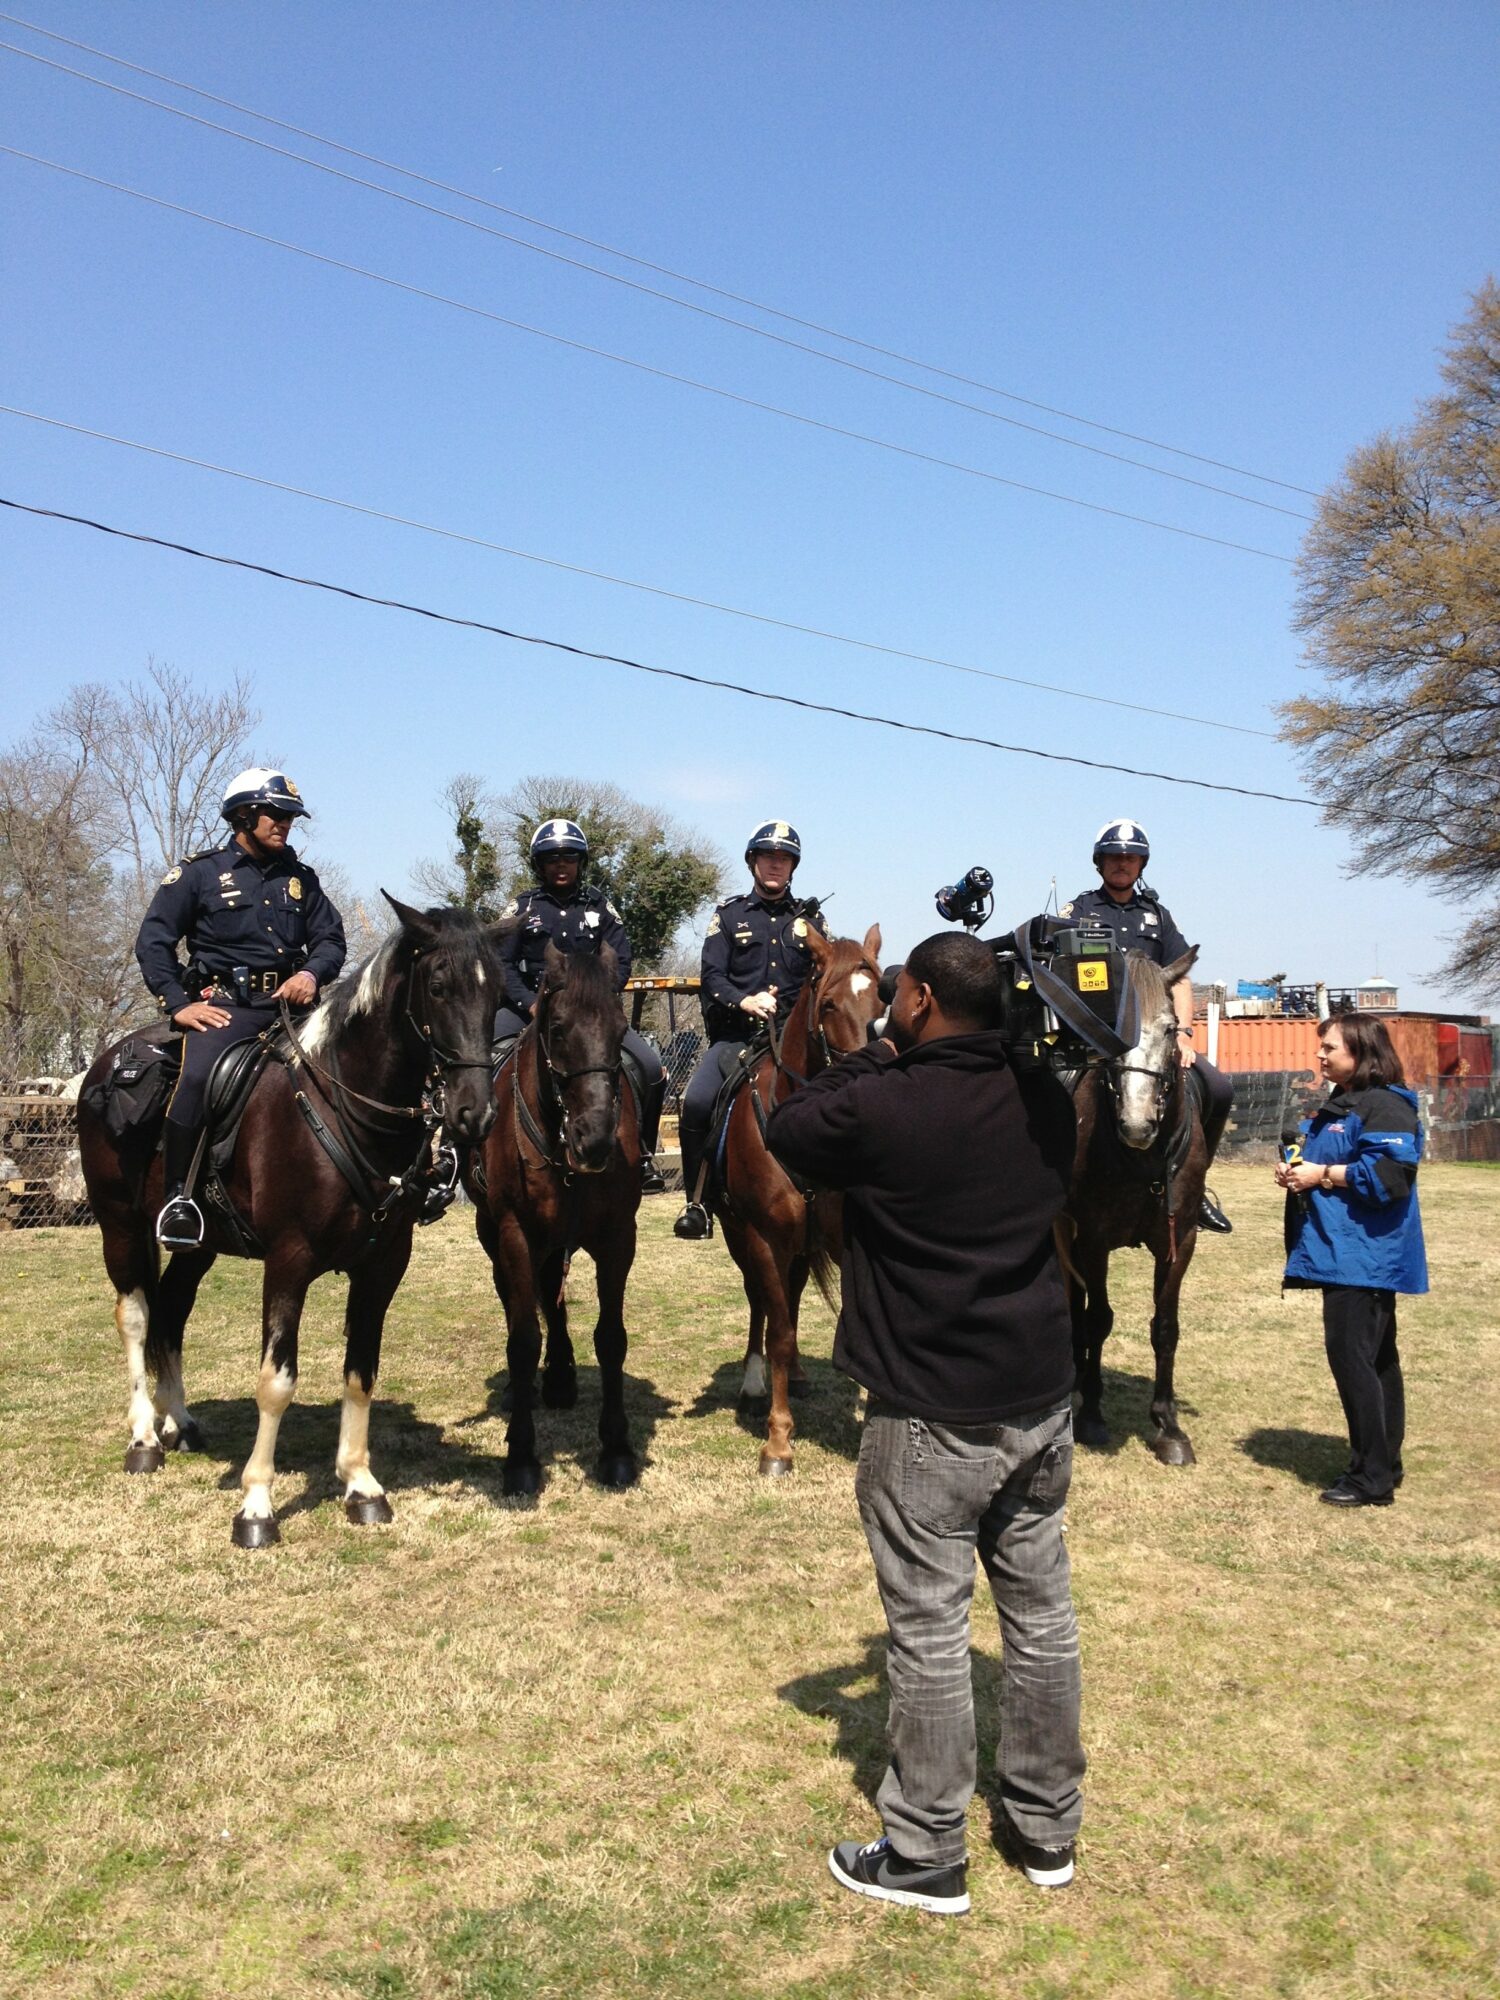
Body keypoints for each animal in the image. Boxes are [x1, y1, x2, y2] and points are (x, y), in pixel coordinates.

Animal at [77, 897, 505, 1546]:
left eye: (498, 991)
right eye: (437, 985)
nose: (472, 1113)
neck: (343, 1106)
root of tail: (107, 1065)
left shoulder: (382, 1267)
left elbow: (360, 1374)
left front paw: (361, 1486)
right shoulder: (288, 1263)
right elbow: (275, 1382)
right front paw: (256, 1505)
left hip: (198, 1244)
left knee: (171, 1313)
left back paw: (181, 1422)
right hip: (120, 1227)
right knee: (136, 1317)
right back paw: (145, 1436)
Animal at [463, 942, 643, 1496]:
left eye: (620, 1030)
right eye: (558, 1028)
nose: (596, 1141)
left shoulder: (617, 1239)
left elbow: (611, 1337)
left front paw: (616, 1449)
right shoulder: (515, 1235)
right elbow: (522, 1340)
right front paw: (521, 1458)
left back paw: (562, 1376)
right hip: (494, 1235)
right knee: (518, 1301)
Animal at [714, 925, 883, 1477]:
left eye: (882, 999)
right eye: (828, 1004)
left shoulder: (839, 1236)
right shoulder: (764, 1238)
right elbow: (780, 1333)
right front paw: (778, 1441)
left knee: (787, 1297)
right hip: (740, 1236)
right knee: (762, 1304)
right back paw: (754, 1383)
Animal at [1061, 946, 1207, 1465]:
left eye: (1170, 1028)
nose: (1137, 1125)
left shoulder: (1180, 1240)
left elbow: (1165, 1326)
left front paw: (1168, 1426)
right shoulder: (1093, 1238)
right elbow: (1098, 1319)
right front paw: (1091, 1415)